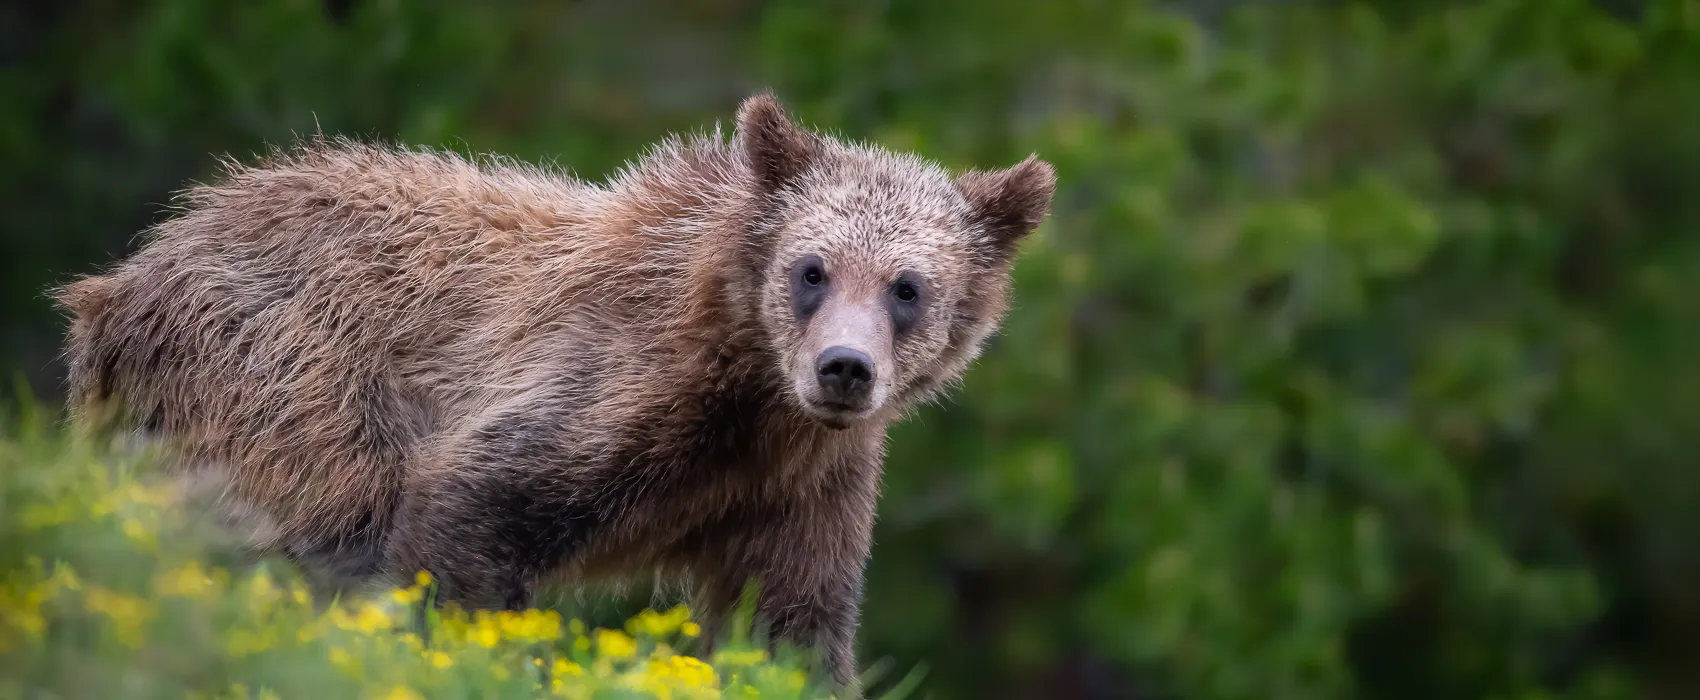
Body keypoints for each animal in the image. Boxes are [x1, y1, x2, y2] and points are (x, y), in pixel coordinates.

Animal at [53, 91, 1054, 683]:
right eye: (812, 269)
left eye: (907, 286)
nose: (843, 368)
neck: (747, 393)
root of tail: (127, 275)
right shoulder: (604, 389)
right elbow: (469, 516)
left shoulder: (800, 483)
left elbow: (790, 621)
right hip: (285, 363)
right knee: (320, 510)